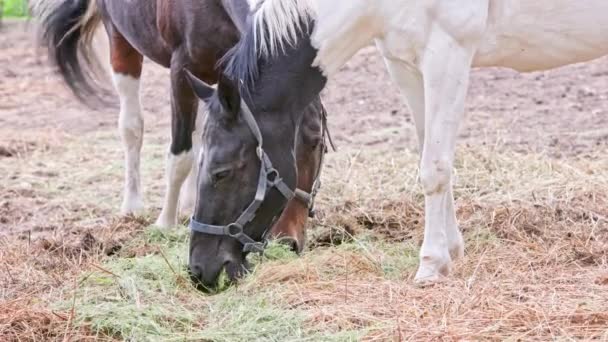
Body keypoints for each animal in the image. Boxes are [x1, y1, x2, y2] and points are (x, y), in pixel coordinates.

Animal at [35, 0, 326, 251]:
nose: (287, 240)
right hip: (120, 42)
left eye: (316, 142)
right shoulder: (182, 71)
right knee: (132, 127)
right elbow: (179, 157)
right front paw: (165, 223)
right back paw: (132, 205)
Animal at [249, 0, 608, 284]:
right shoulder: (404, 66)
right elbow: (433, 156)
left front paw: (432, 265)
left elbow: (434, 169)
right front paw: (451, 250)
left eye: (227, 168)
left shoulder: (447, 55)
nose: (285, 244)